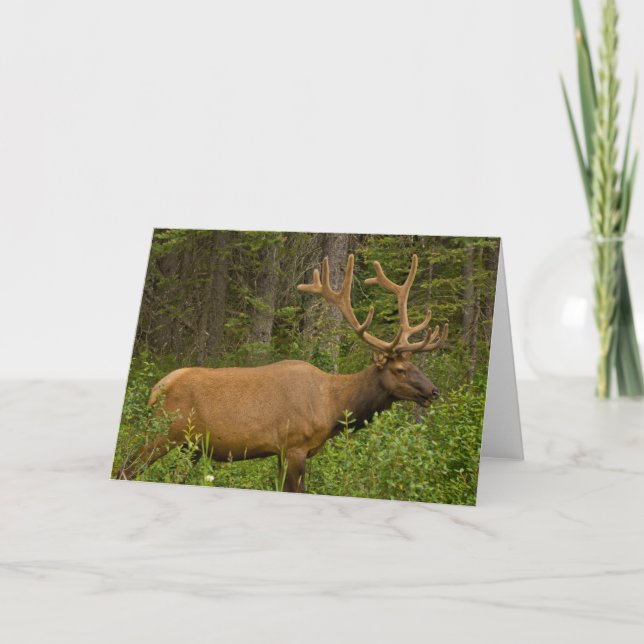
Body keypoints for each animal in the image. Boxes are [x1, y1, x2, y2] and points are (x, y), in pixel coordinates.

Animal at [119, 253, 448, 493]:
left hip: (190, 446)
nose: (433, 391)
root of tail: (156, 389)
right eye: (400, 369)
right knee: (127, 468)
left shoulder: (283, 452)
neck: (334, 407)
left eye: (416, 366)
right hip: (161, 433)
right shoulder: (295, 446)